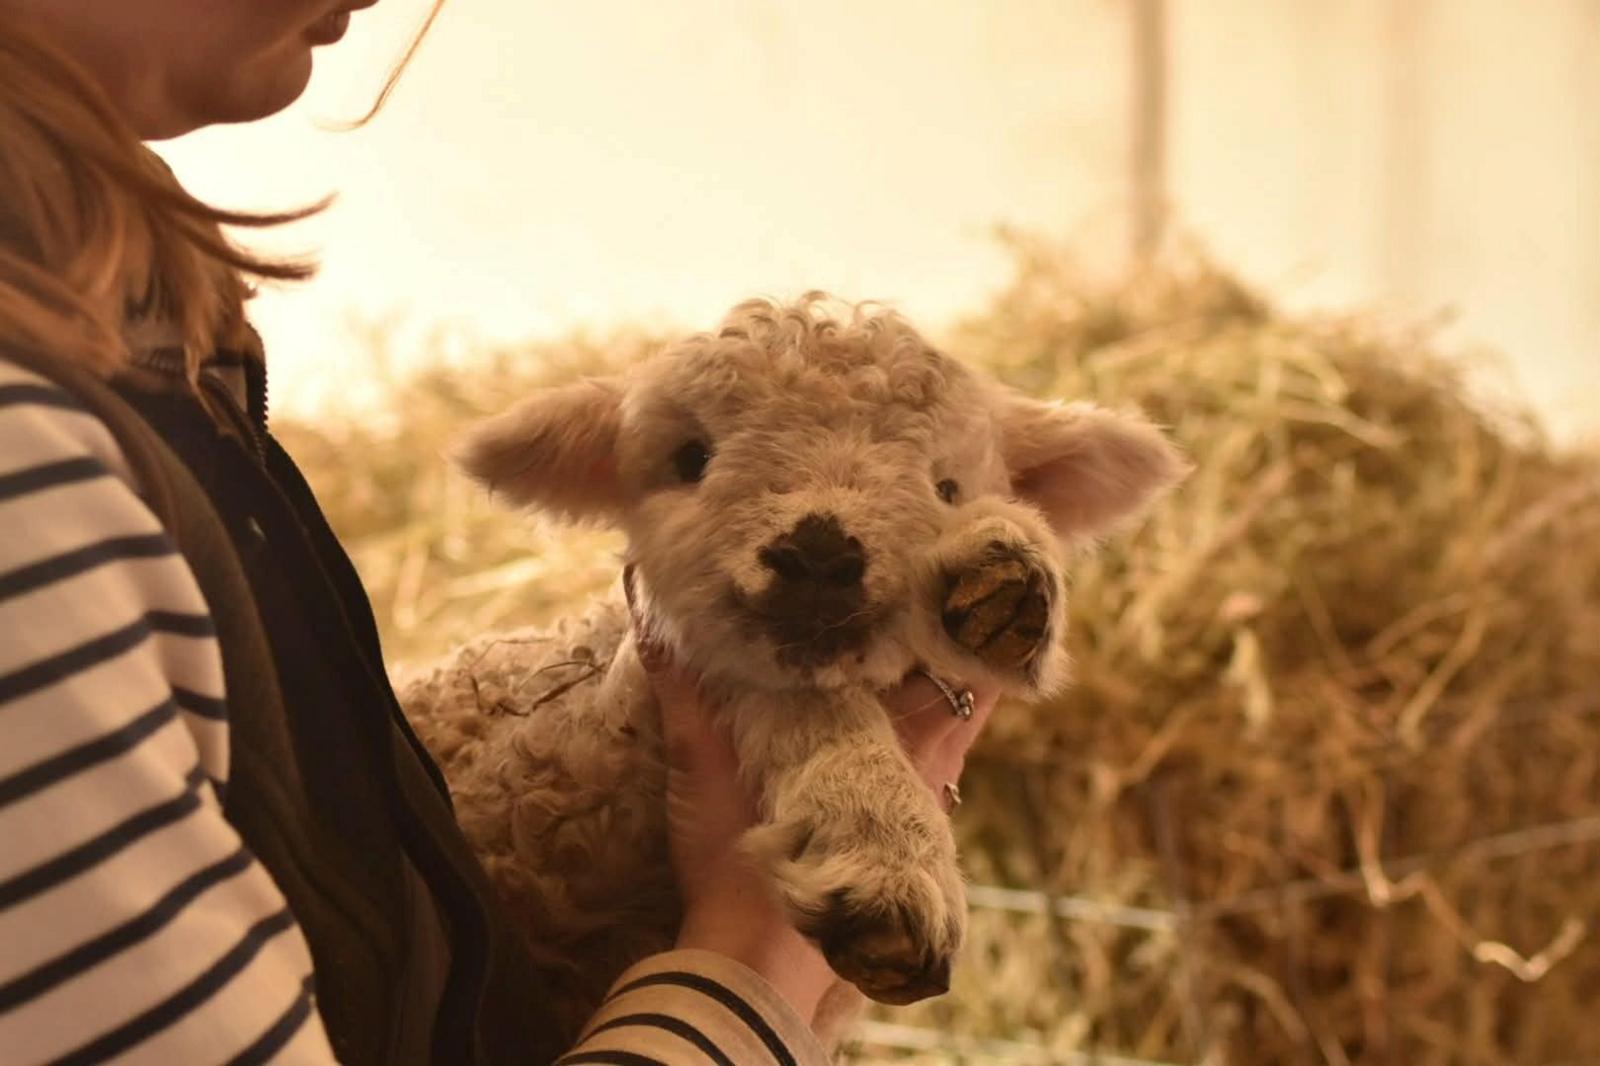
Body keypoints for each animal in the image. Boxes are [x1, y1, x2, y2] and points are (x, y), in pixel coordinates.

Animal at [398, 295, 1187, 1044]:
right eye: (691, 459)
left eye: (948, 488)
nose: (818, 555)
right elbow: (790, 697)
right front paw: (884, 847)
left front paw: (1003, 572)